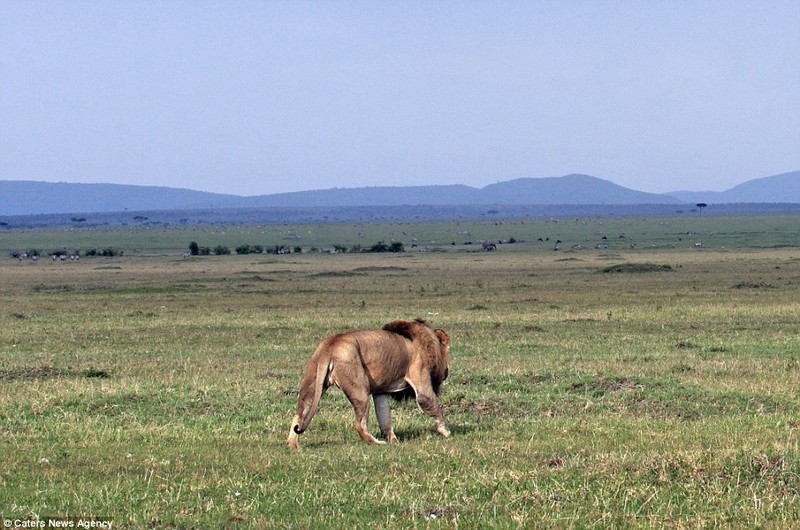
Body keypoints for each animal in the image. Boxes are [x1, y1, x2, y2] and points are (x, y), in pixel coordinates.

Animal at [286, 318, 450, 446]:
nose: (447, 372)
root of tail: (330, 346)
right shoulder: (420, 374)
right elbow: (429, 402)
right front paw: (446, 432)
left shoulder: (380, 391)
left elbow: (385, 416)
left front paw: (393, 441)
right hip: (359, 389)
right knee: (360, 425)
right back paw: (378, 443)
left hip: (313, 381)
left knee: (299, 413)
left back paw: (293, 445)